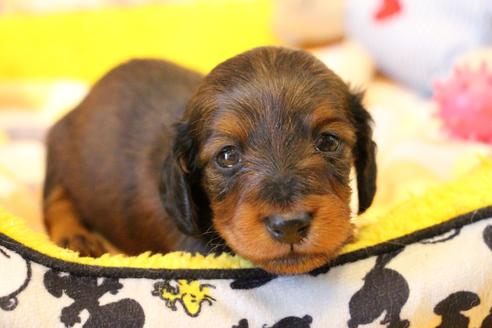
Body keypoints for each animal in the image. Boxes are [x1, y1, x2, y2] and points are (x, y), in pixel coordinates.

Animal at [45, 46, 376, 274]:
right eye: (227, 156)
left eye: (328, 141)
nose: (290, 226)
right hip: (59, 154)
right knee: (56, 199)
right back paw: (76, 238)